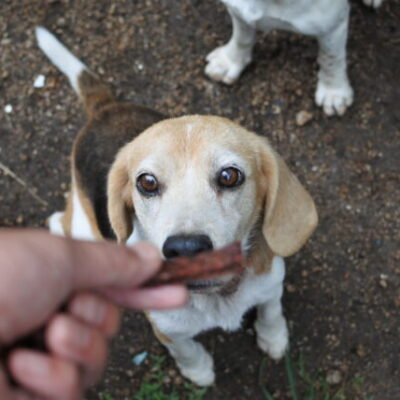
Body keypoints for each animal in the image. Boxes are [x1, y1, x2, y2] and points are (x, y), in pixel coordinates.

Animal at [36, 26, 318, 386]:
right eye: (147, 182)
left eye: (229, 175)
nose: (186, 249)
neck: (217, 296)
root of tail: (105, 109)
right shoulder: (168, 330)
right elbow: (186, 349)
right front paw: (198, 371)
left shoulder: (270, 283)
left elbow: (271, 310)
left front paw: (274, 338)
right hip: (86, 226)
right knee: (60, 219)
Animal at [206, 0, 384, 116]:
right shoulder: (239, 10)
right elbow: (242, 37)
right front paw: (229, 61)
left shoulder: (332, 25)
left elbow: (331, 58)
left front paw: (333, 92)